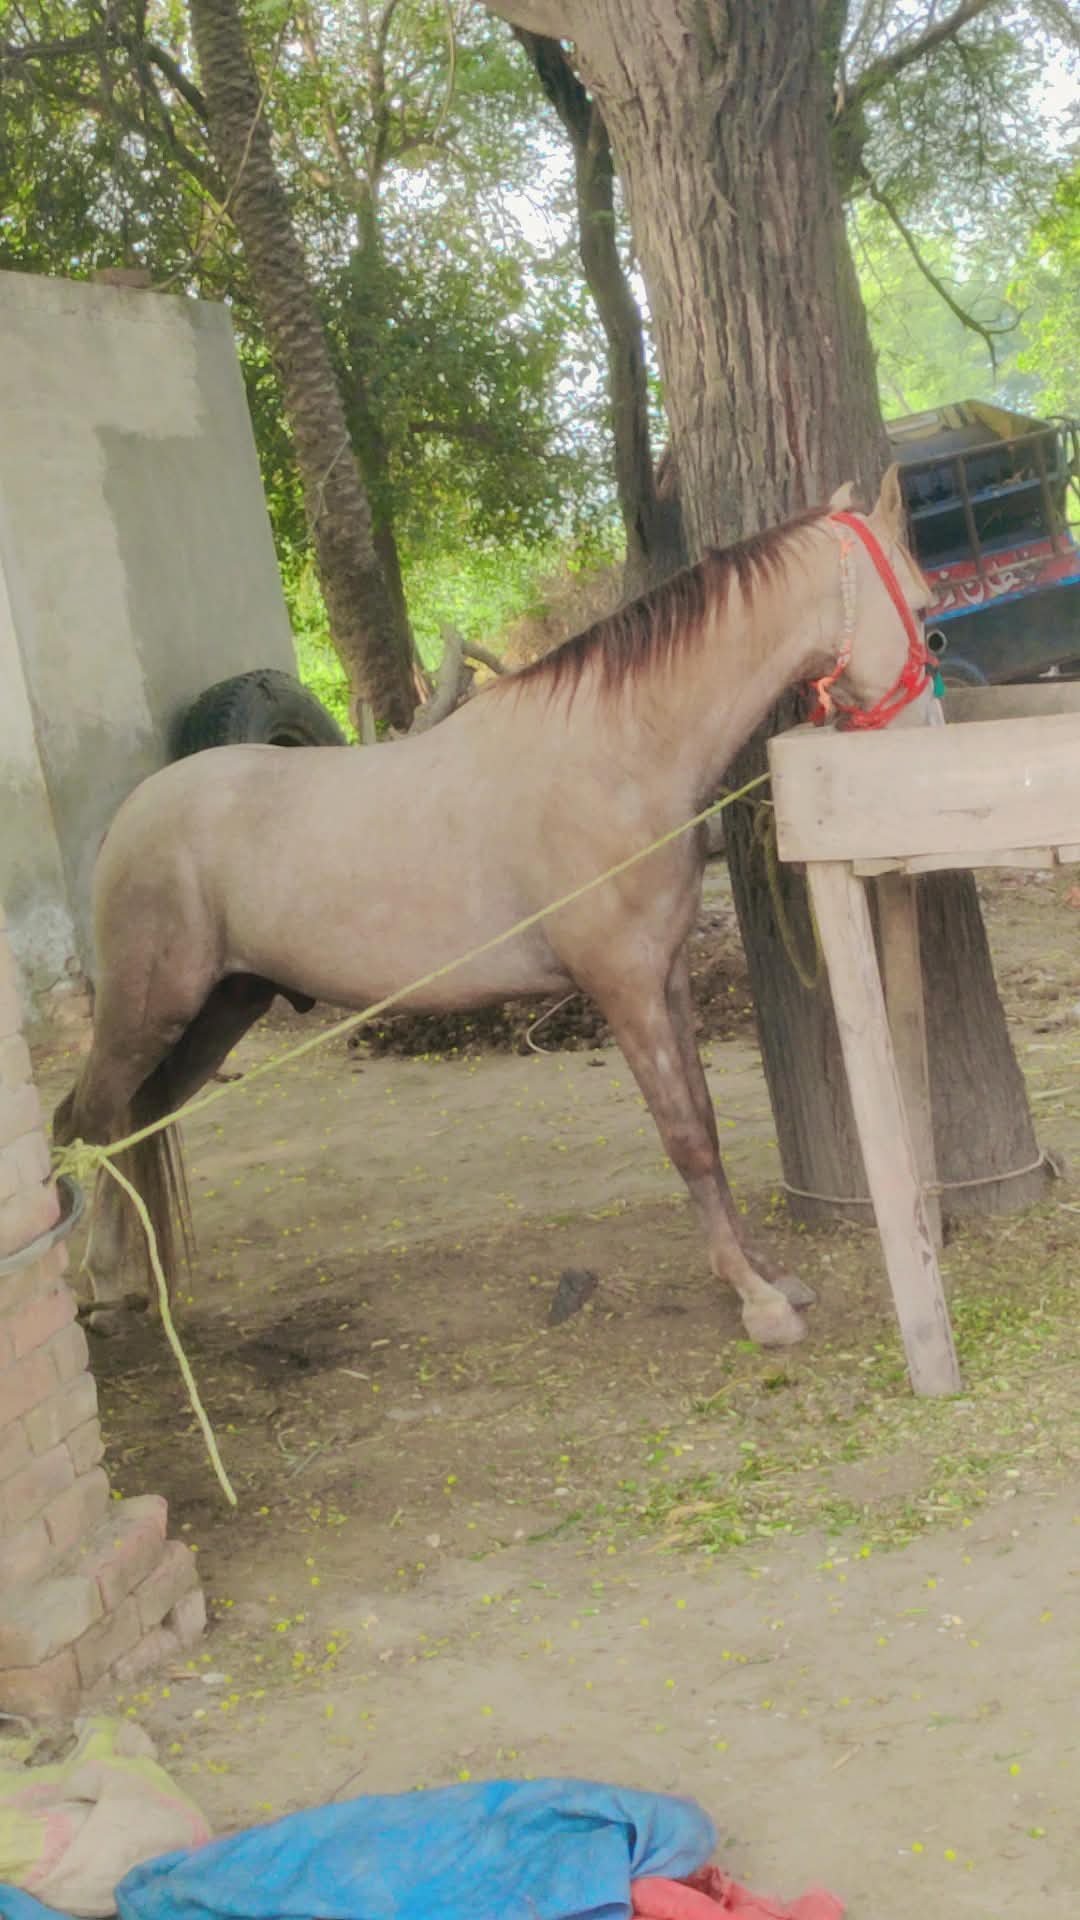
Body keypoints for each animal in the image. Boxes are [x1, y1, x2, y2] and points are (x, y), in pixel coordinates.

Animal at [55, 465, 934, 1347]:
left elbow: (707, 1124)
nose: (926, 727)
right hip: (152, 1011)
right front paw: (754, 1299)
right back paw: (96, 1289)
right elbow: (684, 1135)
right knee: (84, 1121)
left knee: (129, 1124)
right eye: (926, 610)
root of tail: (129, 817)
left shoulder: (666, 978)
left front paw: (763, 1276)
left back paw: (131, 1286)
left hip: (220, 1011)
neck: (613, 755)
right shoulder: (624, 989)